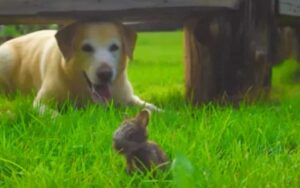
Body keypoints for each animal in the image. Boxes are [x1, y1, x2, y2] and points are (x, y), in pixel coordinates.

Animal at [0, 22, 159, 113]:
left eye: (114, 47)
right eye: (86, 48)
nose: (105, 74)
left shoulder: (128, 97)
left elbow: (148, 106)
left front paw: (162, 112)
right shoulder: (41, 103)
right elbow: (54, 115)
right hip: (6, 56)